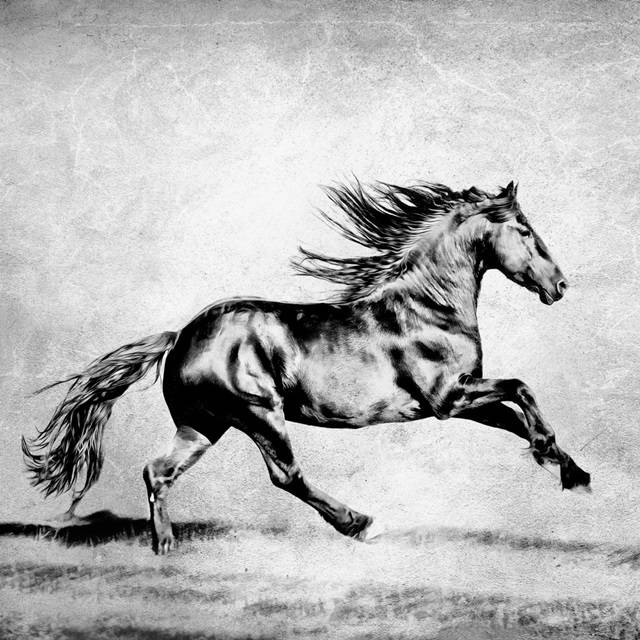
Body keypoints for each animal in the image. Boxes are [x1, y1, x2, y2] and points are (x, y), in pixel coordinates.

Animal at [22, 179, 591, 554]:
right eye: (524, 229)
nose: (560, 285)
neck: (428, 307)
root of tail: (181, 337)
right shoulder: (447, 397)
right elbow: (521, 388)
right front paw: (554, 459)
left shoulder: (461, 396)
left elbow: (514, 417)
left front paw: (571, 472)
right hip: (258, 414)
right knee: (286, 475)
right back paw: (360, 523)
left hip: (203, 425)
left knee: (158, 471)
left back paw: (166, 547)